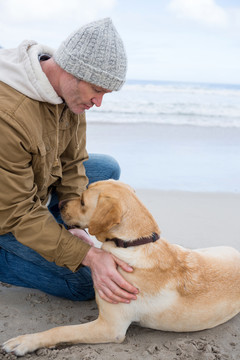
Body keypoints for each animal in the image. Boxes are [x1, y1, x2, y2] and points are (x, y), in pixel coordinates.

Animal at [2, 180, 240, 354]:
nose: (59, 205)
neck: (134, 242)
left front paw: (24, 342)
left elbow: (61, 330)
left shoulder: (110, 327)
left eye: (82, 201)